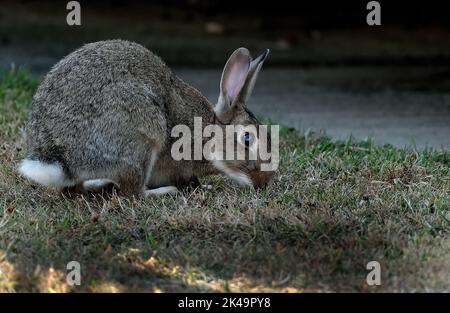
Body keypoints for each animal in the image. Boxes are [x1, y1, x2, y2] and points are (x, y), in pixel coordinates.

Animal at [18, 39, 274, 195]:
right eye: (247, 139)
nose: (263, 181)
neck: (206, 132)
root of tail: (62, 156)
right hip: (142, 139)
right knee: (133, 193)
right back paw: (164, 192)